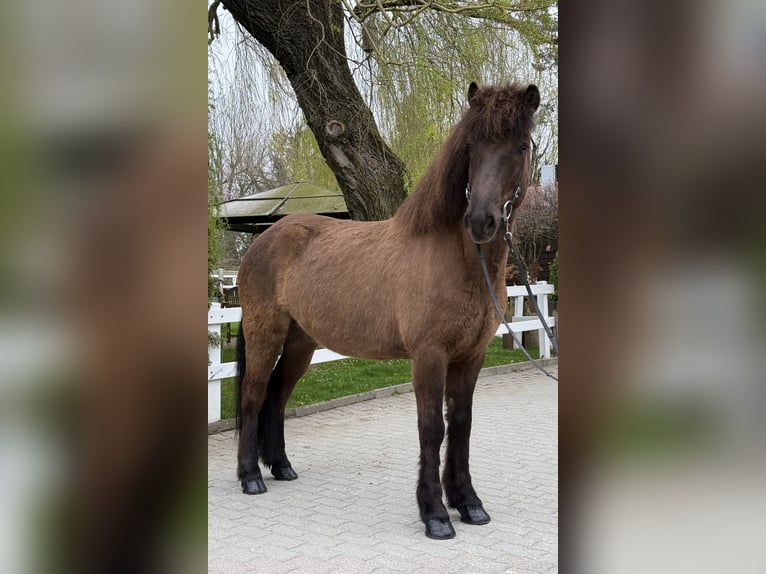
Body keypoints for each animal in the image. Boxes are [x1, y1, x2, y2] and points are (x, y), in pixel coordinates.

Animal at [235, 81, 540, 540]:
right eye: (470, 146)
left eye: (521, 146)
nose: (481, 221)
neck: (459, 261)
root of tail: (263, 240)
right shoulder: (429, 356)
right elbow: (432, 428)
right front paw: (435, 514)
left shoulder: (471, 356)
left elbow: (461, 424)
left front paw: (469, 503)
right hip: (264, 334)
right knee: (253, 395)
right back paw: (251, 477)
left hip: (301, 344)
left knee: (276, 393)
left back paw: (282, 467)